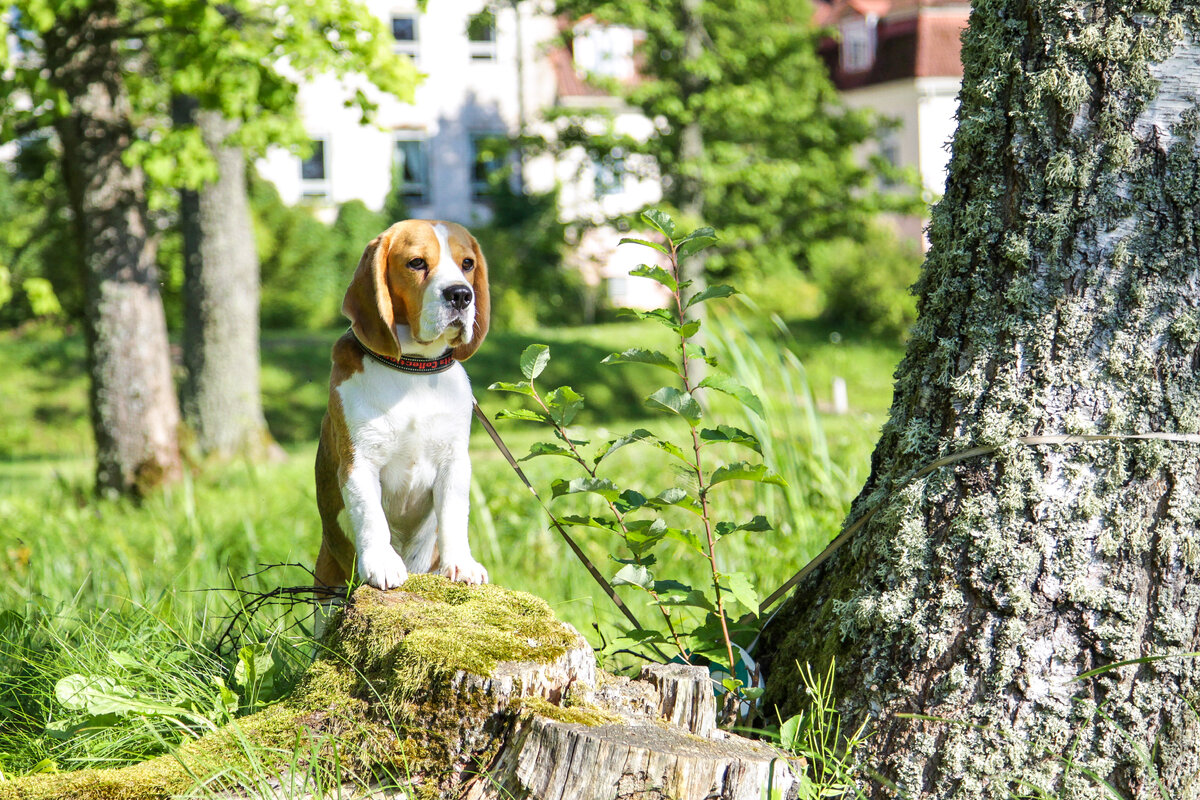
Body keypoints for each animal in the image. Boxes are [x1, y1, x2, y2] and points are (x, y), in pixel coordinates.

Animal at [314, 220, 492, 623]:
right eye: (416, 263)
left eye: (468, 263)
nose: (461, 295)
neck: (413, 370)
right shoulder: (359, 463)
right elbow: (371, 516)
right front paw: (381, 562)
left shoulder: (455, 461)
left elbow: (453, 515)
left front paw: (461, 564)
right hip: (326, 592)